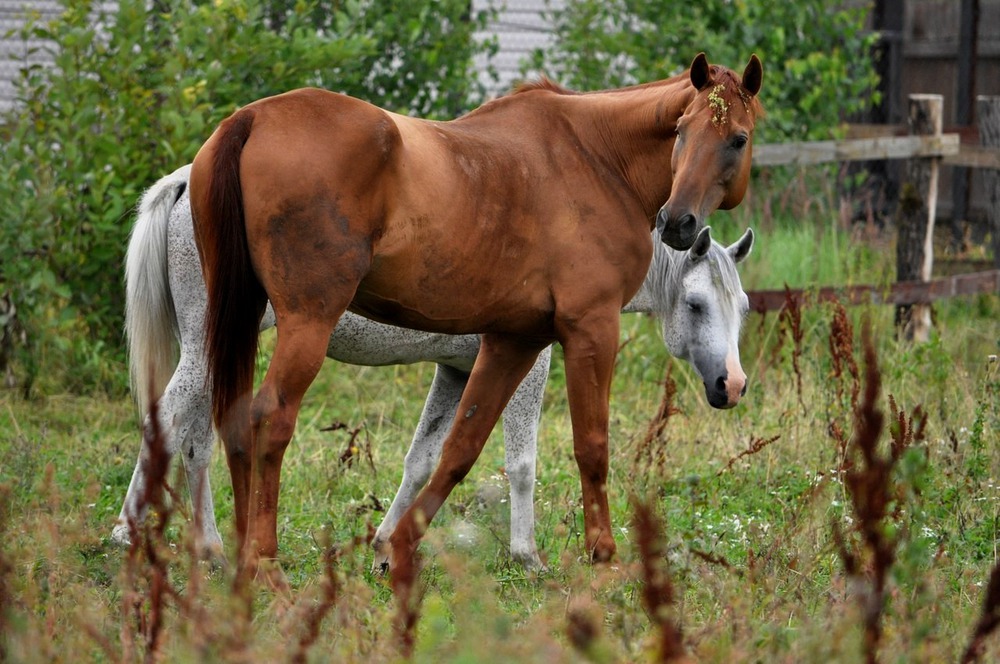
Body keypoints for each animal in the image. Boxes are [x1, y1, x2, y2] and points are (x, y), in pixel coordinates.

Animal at [189, 50, 764, 592]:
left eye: (737, 139)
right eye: (681, 130)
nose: (678, 223)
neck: (597, 158)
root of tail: (252, 119)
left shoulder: (513, 340)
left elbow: (459, 448)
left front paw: (399, 548)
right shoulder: (591, 330)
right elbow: (590, 446)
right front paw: (602, 557)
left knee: (230, 424)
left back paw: (238, 560)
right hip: (306, 324)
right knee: (268, 419)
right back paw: (264, 565)